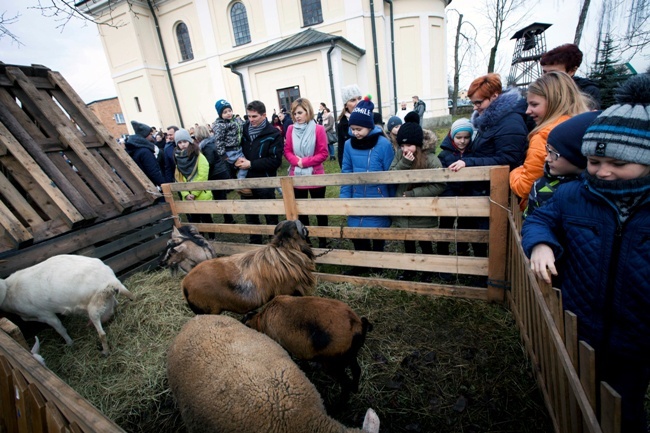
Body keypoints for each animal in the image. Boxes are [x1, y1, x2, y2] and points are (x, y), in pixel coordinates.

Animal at [0, 253, 133, 354]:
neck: (8, 290)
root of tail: (110, 279)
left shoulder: (45, 314)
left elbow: (60, 329)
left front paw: (70, 344)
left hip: (94, 308)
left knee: (102, 334)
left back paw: (105, 351)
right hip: (105, 300)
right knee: (115, 305)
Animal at [242, 294, 370, 402]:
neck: (261, 319)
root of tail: (357, 325)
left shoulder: (282, 345)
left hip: (334, 365)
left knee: (346, 384)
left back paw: (339, 404)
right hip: (350, 356)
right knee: (357, 370)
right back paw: (355, 389)